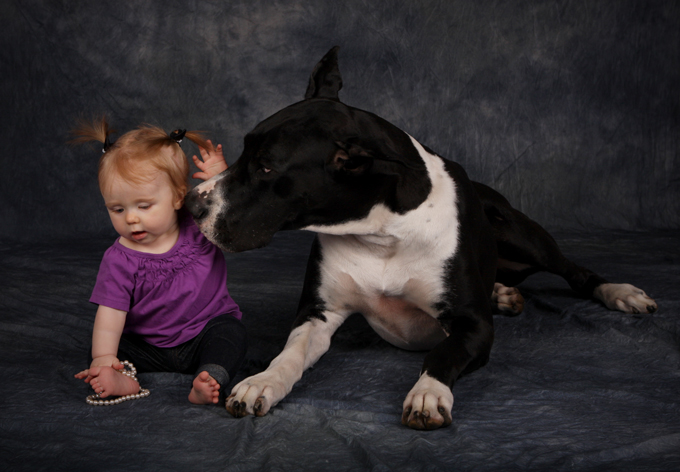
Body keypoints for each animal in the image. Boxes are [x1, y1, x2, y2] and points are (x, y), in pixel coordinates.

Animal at [185, 48, 652, 432]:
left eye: (266, 167)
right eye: (244, 152)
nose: (191, 204)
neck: (381, 234)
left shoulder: (474, 326)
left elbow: (441, 355)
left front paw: (428, 394)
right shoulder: (318, 313)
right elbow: (291, 352)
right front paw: (262, 381)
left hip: (523, 234)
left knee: (576, 270)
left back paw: (621, 292)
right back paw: (503, 292)